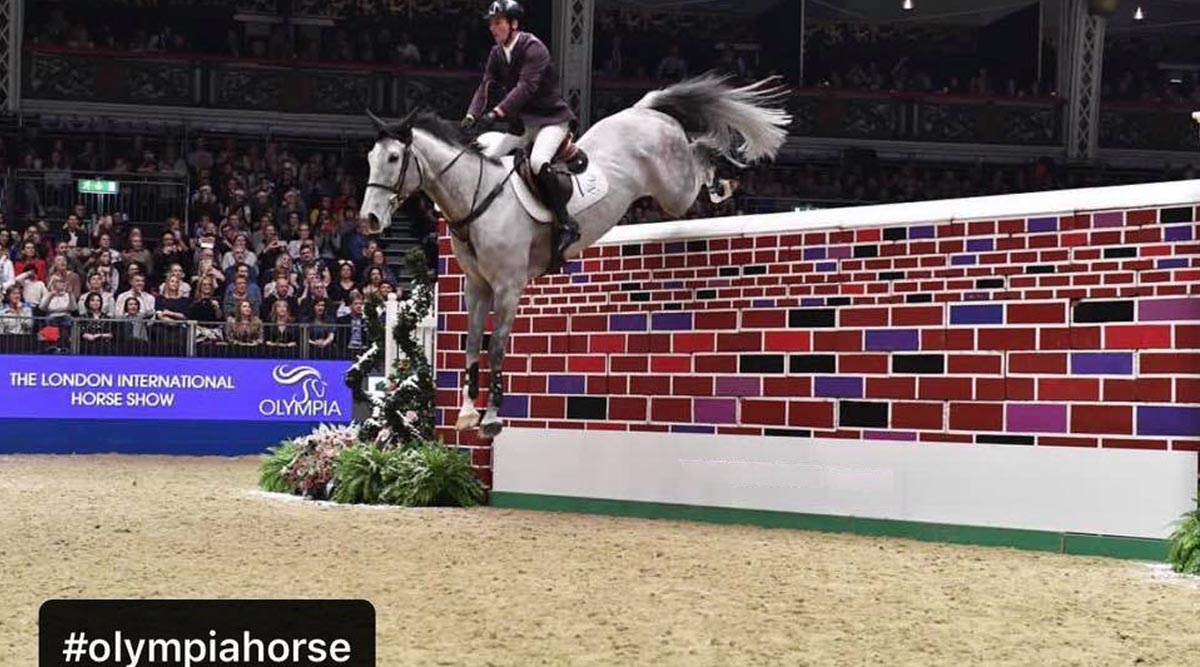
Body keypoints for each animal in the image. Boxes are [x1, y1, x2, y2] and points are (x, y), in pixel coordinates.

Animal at [357, 72, 787, 441]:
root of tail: (643, 110)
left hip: (674, 190)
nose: (369, 220)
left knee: (698, 153)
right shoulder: (476, 287)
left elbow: (496, 347)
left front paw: (492, 418)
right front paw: (465, 414)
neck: (477, 197)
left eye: (394, 159)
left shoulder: (509, 286)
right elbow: (473, 344)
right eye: (368, 159)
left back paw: (724, 182)